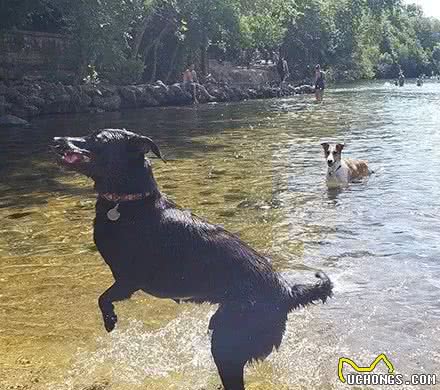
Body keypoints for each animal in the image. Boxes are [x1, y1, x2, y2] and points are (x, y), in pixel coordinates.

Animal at [52, 129, 334, 388]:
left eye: (97, 138)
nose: (56, 140)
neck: (129, 204)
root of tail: (288, 292)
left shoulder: (129, 280)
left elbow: (103, 298)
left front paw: (110, 320)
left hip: (227, 341)